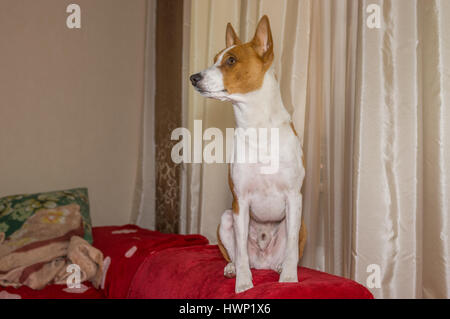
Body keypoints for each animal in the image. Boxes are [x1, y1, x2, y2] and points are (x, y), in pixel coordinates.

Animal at [188, 15, 308, 296]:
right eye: (215, 58)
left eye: (231, 60)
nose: (193, 77)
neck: (258, 129)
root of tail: (263, 263)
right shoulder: (240, 202)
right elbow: (241, 251)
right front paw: (243, 284)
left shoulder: (293, 197)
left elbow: (291, 249)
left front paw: (289, 279)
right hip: (225, 219)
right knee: (237, 254)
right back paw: (233, 268)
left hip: (300, 221)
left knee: (289, 251)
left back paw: (280, 268)